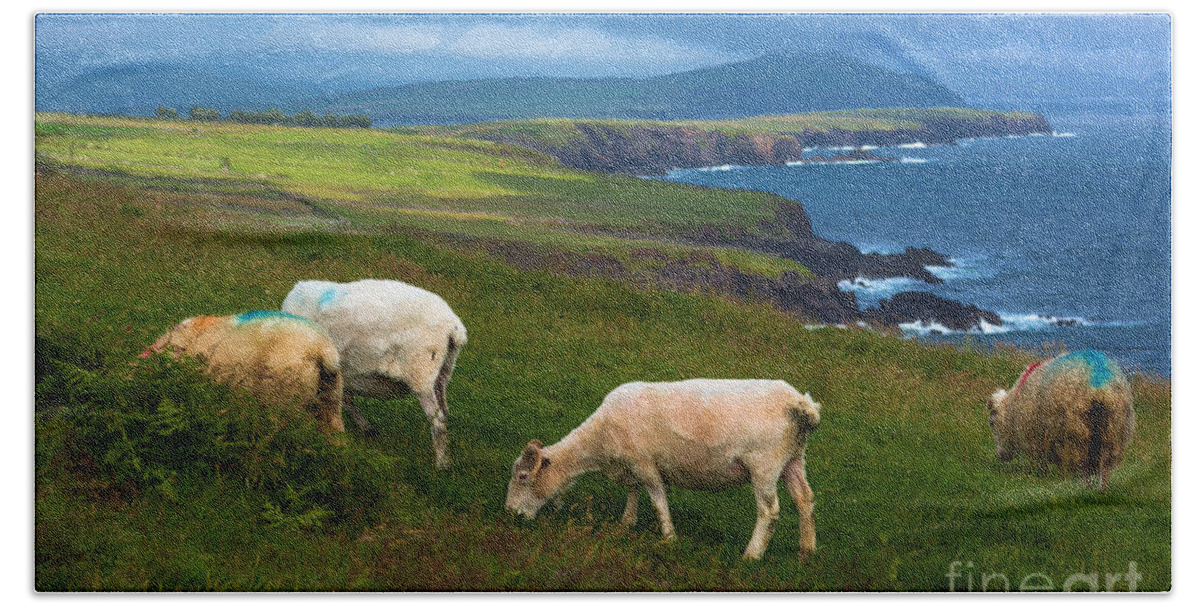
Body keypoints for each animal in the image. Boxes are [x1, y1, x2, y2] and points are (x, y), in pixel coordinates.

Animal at [283, 278, 465, 467]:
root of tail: (454, 327)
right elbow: (346, 401)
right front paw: (367, 430)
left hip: (421, 373)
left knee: (438, 421)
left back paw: (441, 465)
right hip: (443, 373)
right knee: (444, 412)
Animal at [501, 378, 820, 563]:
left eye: (523, 477)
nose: (510, 513)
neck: (600, 441)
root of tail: (798, 402)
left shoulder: (645, 463)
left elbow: (657, 500)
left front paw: (668, 537)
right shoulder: (630, 464)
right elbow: (632, 491)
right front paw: (626, 523)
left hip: (764, 464)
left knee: (769, 511)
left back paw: (752, 555)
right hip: (793, 459)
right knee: (804, 500)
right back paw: (807, 549)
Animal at [984, 350, 1132, 491]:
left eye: (992, 423)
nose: (1001, 456)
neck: (1013, 409)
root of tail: (1100, 386)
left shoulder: (1039, 434)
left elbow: (1043, 460)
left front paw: (1045, 474)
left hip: (1077, 431)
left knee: (1084, 462)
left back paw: (1085, 487)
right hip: (1112, 429)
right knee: (1104, 463)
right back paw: (1101, 488)